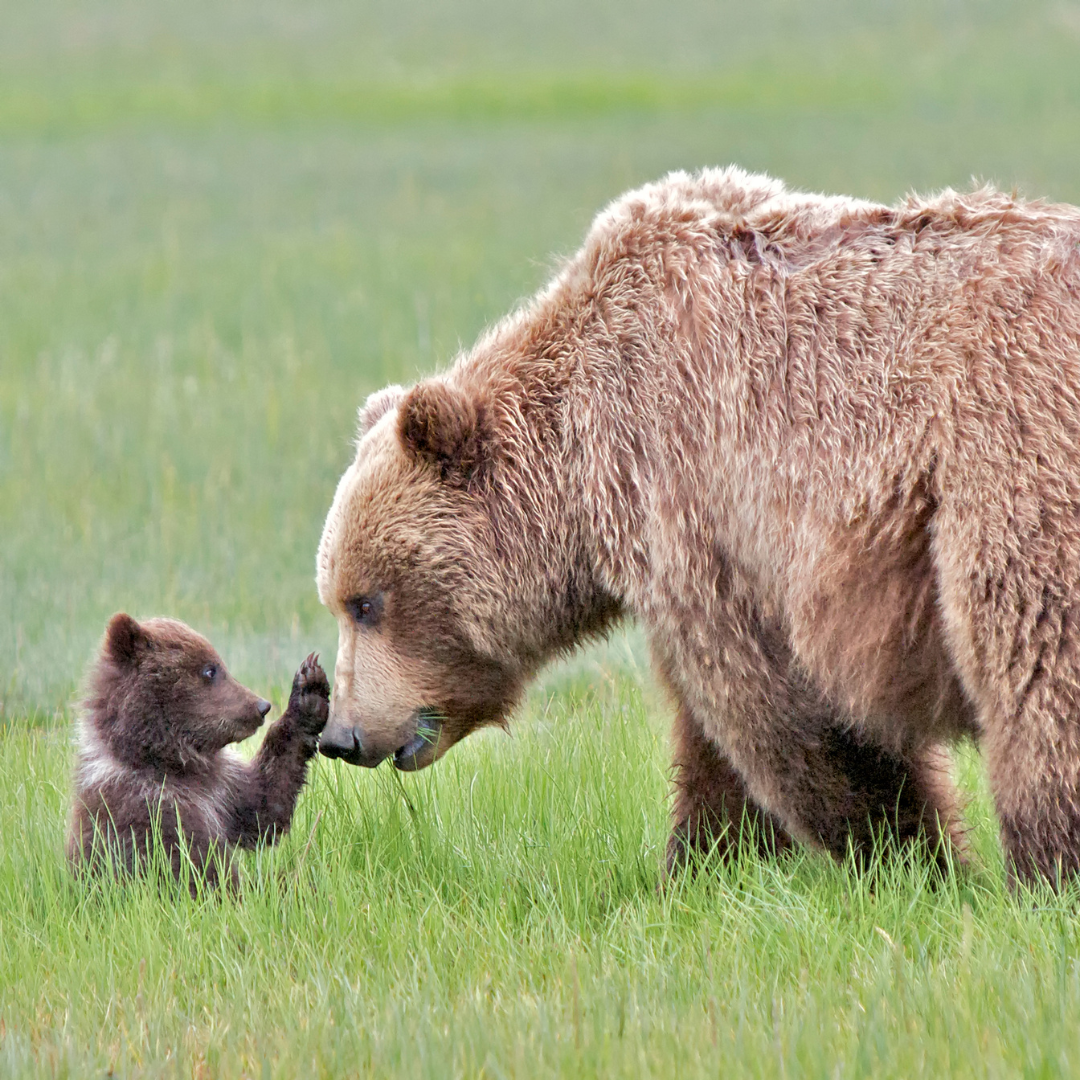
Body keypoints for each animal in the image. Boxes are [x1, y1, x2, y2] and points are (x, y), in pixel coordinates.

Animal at [68, 613, 330, 891]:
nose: (261, 706)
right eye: (209, 670)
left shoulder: (222, 788)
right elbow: (200, 874)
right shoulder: (146, 811)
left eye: (217, 664)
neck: (167, 761)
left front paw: (309, 691)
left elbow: (263, 804)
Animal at [315, 165, 1080, 889]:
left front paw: (913, 859)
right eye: (340, 600)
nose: (340, 735)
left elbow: (779, 707)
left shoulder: (693, 493)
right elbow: (717, 752)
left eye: (367, 602)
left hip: (1006, 454)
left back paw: (1044, 868)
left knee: (1034, 659)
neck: (578, 469)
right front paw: (702, 865)